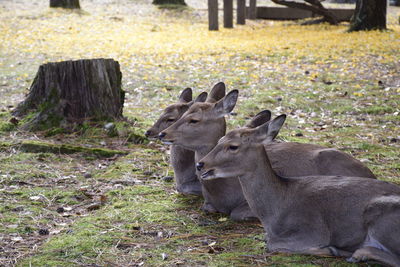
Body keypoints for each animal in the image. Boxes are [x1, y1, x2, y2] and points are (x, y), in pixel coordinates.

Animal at [159, 90, 376, 222]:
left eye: (194, 119)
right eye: (182, 115)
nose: (163, 133)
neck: (224, 191)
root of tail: (372, 174)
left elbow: (237, 214)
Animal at [197, 115, 400, 267]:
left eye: (233, 146)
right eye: (220, 139)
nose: (200, 165)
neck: (275, 211)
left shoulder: (313, 230)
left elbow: (272, 244)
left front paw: (328, 249)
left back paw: (356, 253)